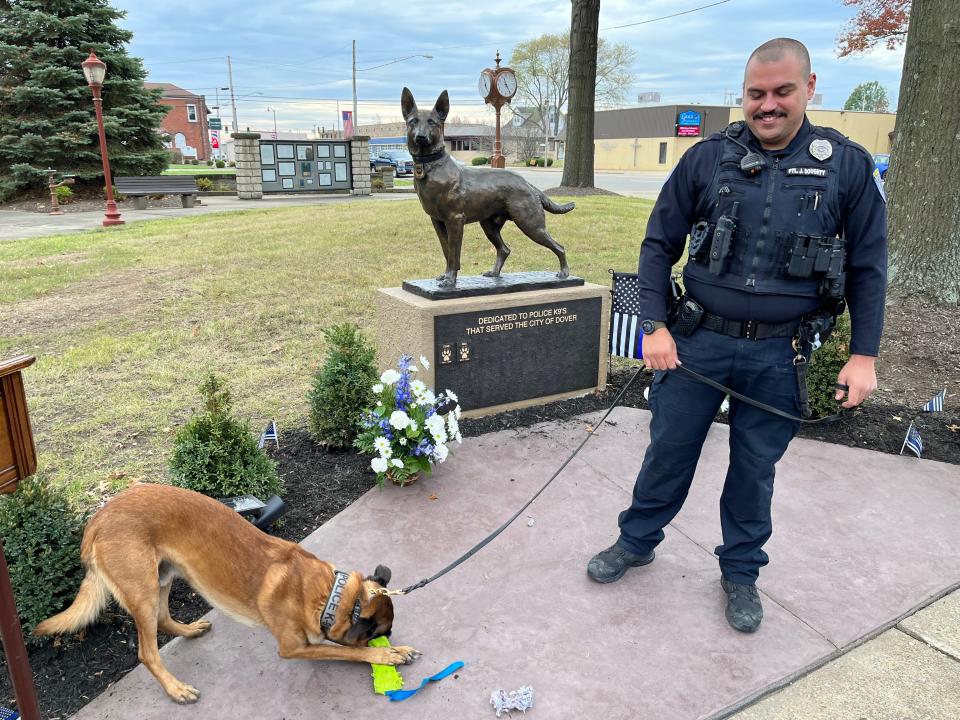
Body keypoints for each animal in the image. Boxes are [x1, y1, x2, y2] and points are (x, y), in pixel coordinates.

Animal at [35, 484, 418, 704]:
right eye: (383, 632)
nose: (391, 640)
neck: (330, 594)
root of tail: (96, 520)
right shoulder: (294, 648)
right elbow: (349, 652)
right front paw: (386, 655)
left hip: (163, 576)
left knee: (163, 617)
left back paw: (189, 630)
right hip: (142, 589)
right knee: (147, 652)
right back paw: (176, 689)